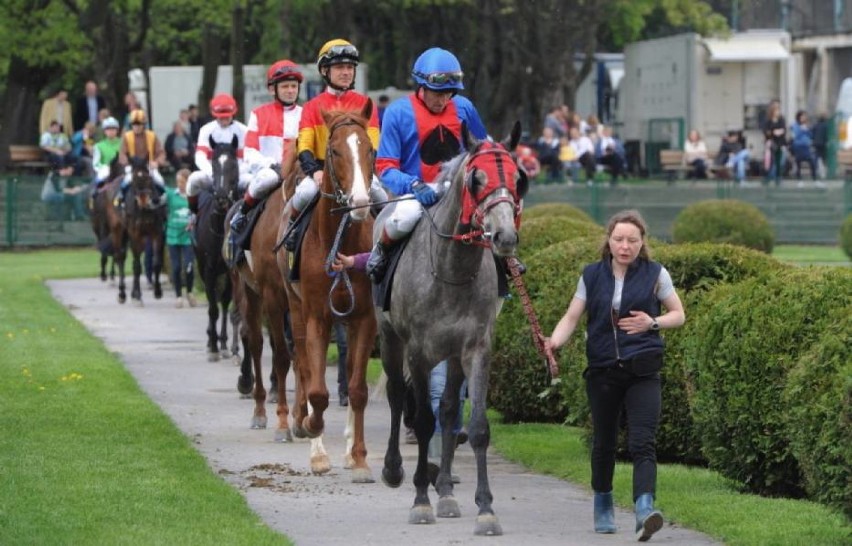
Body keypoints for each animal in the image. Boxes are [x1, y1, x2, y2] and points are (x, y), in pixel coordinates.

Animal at [278, 103, 378, 480]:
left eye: (369, 149)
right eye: (333, 151)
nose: (360, 202)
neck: (339, 241)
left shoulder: (364, 317)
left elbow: (358, 389)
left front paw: (359, 457)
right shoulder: (316, 318)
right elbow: (317, 389)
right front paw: (313, 436)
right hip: (294, 309)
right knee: (305, 368)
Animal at [378, 121, 524, 532]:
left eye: (518, 178)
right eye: (477, 179)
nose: (505, 237)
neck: (452, 270)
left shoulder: (475, 348)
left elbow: (474, 427)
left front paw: (485, 507)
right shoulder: (418, 351)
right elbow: (422, 420)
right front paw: (420, 501)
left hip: (453, 355)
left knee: (445, 408)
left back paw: (444, 489)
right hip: (389, 338)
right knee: (397, 394)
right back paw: (394, 470)